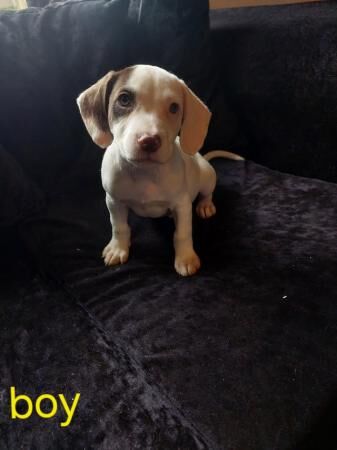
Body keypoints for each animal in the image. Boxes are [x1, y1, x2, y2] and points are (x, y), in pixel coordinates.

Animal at [77, 64, 243, 276]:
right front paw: (118, 248)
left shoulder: (182, 205)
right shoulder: (114, 201)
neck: (145, 173)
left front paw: (186, 257)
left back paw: (205, 205)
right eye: (124, 99)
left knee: (207, 192)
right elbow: (119, 226)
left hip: (207, 177)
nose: (149, 141)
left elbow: (183, 233)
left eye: (174, 107)